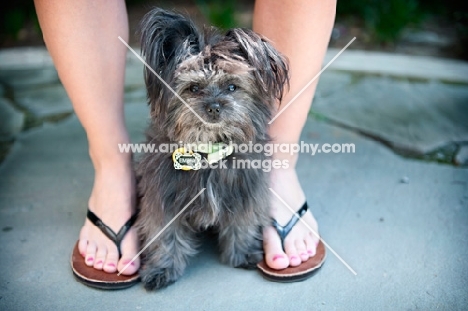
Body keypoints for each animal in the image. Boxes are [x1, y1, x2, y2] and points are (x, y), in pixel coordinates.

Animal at [135, 7, 288, 292]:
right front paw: (162, 268)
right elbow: (165, 235)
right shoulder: (163, 198)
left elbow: (242, 223)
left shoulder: (245, 193)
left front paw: (242, 253)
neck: (210, 153)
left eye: (232, 86)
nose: (214, 107)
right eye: (193, 88)